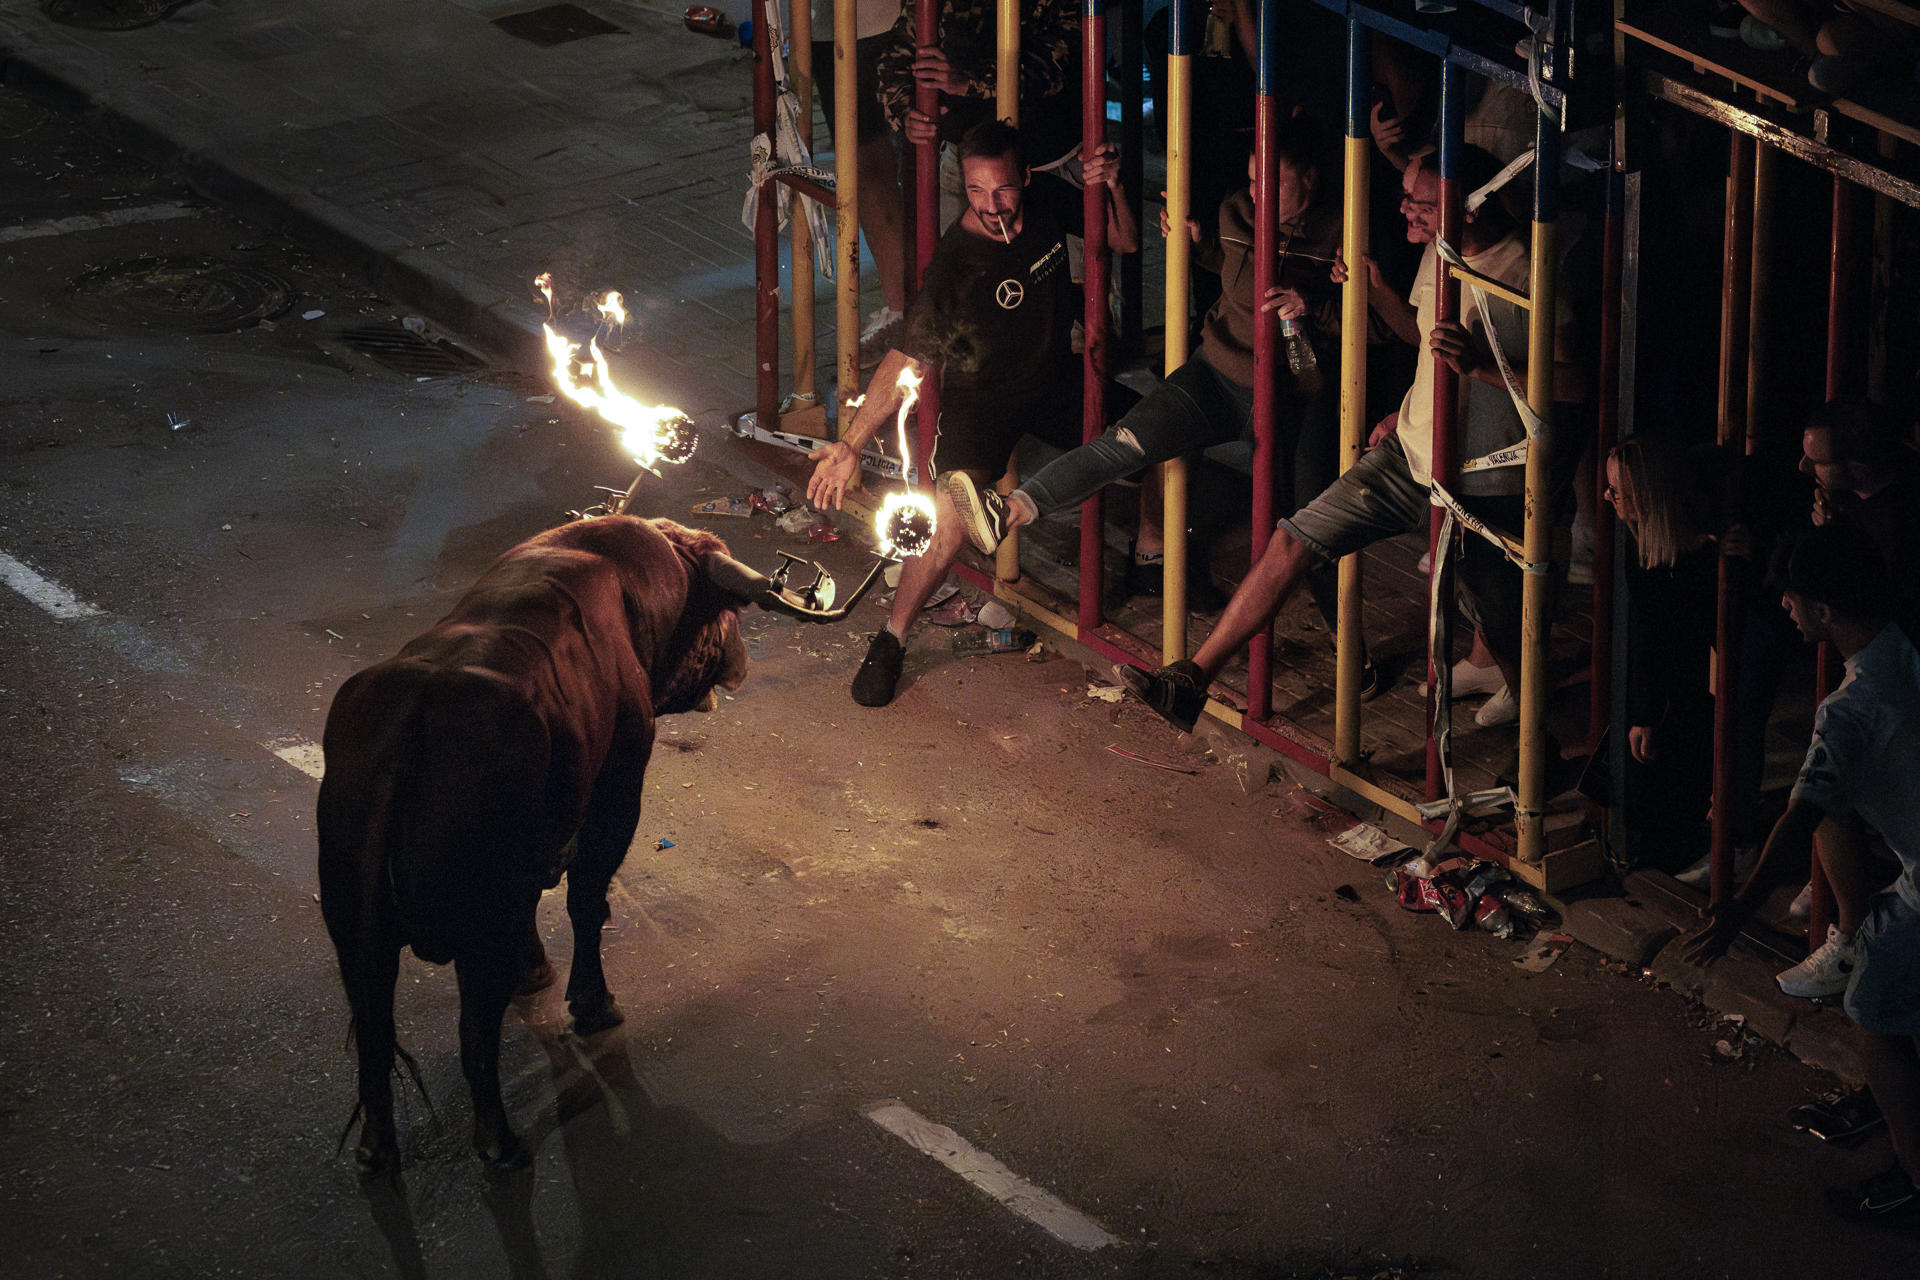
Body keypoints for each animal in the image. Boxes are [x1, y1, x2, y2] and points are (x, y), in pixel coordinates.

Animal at [318, 518, 760, 1174]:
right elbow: (588, 901)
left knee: (374, 1033)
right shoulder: (616, 793)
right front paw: (592, 1003)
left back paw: (377, 1150)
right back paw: (500, 1145)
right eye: (723, 611)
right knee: (474, 1034)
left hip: (353, 927)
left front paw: (534, 973)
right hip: (475, 928)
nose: (741, 661)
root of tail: (416, 718)